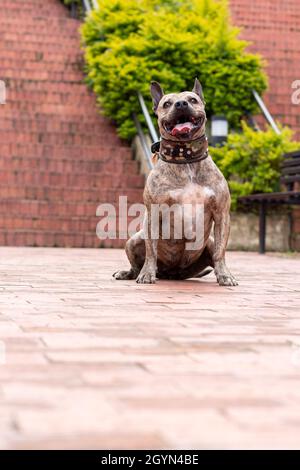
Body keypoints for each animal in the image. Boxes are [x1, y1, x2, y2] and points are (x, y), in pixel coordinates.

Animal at [113, 78, 238, 284]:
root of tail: (173, 273)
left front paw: (226, 276)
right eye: (167, 104)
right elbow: (151, 251)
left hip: (208, 243)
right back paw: (130, 273)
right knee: (136, 264)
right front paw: (147, 274)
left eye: (193, 99)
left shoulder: (221, 215)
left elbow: (221, 252)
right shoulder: (153, 214)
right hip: (134, 240)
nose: (181, 104)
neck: (185, 158)